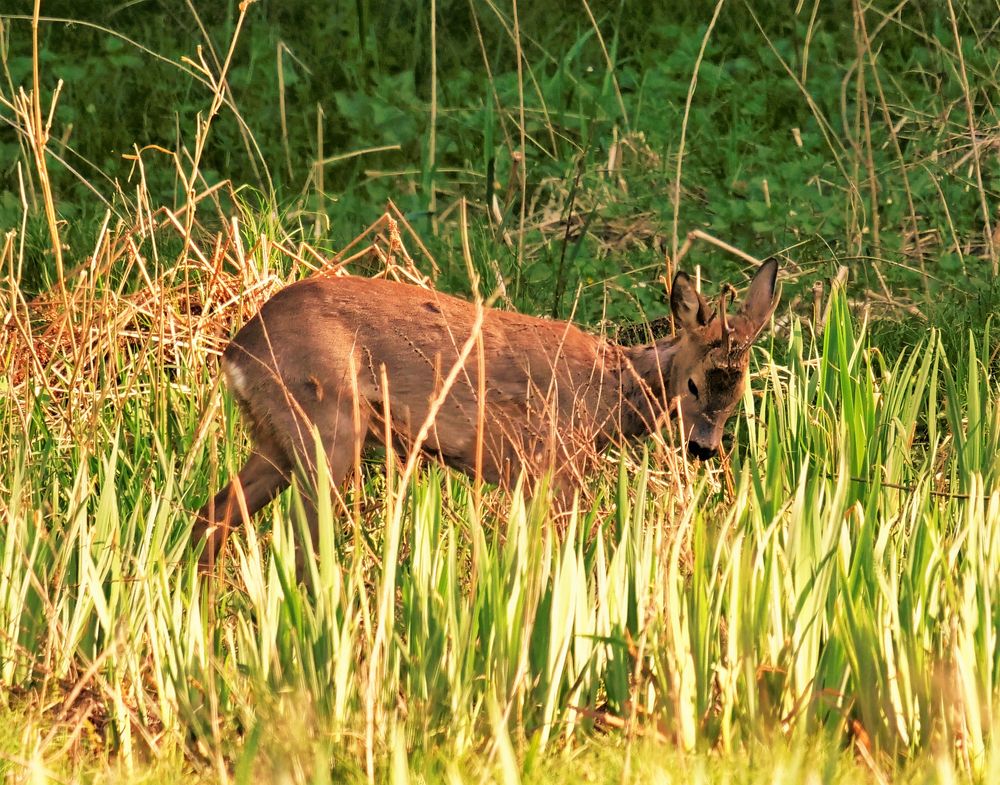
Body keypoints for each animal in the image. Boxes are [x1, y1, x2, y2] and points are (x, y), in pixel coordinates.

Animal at [191, 260, 776, 568]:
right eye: (694, 384)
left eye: (741, 391)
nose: (704, 447)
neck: (611, 394)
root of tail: (237, 352)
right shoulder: (551, 464)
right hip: (326, 426)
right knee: (301, 540)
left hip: (276, 436)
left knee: (215, 510)